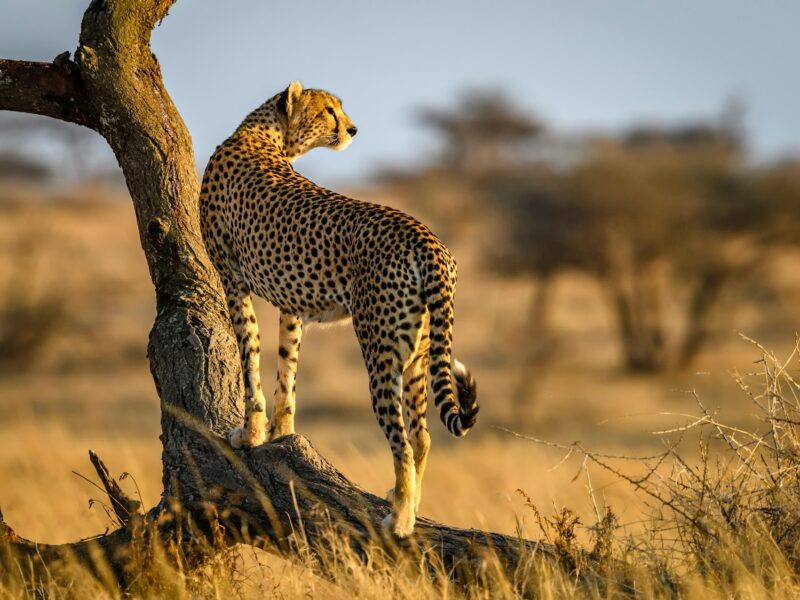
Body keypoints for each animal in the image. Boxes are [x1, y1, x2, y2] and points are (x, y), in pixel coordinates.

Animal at [199, 81, 478, 537]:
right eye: (329, 109)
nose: (352, 129)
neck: (262, 134)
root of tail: (428, 239)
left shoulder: (233, 279)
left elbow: (250, 360)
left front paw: (250, 434)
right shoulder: (290, 303)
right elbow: (287, 368)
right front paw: (282, 432)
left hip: (381, 352)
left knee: (401, 439)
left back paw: (400, 518)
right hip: (420, 353)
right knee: (422, 436)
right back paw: (409, 501)